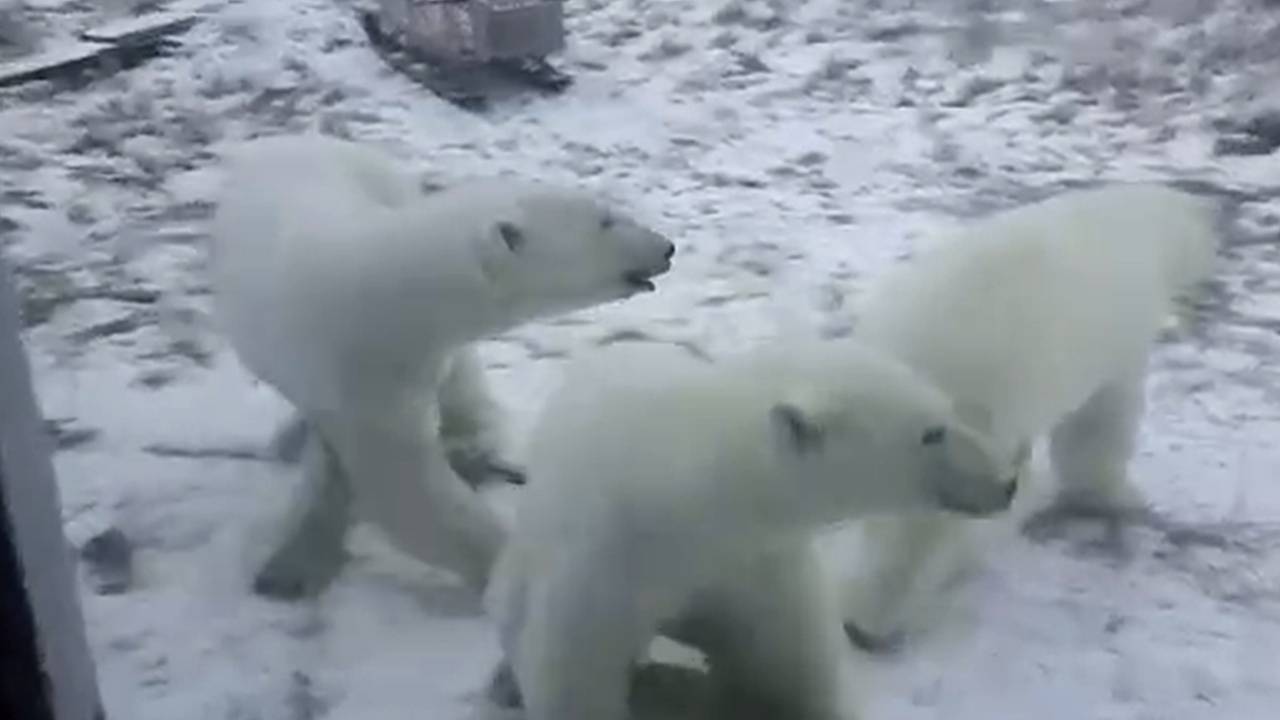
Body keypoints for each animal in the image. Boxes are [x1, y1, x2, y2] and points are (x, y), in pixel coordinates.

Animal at [483, 338, 1024, 717]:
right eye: (931, 433)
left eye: (948, 410)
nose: (1007, 482)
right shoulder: (604, 561)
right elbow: (575, 675)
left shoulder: (753, 563)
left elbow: (790, 664)